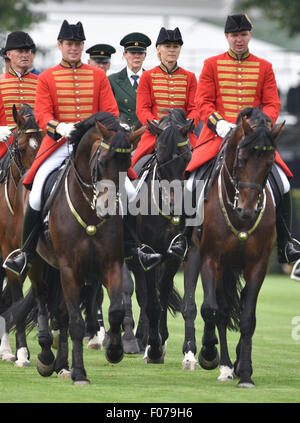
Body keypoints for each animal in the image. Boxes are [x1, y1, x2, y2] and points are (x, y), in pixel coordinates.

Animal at [17, 111, 144, 386]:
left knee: (61, 314)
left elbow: (115, 311)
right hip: (38, 265)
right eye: (102, 161)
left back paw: (63, 365)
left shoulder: (110, 265)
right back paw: (46, 357)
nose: (109, 209)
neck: (90, 211)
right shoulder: (69, 269)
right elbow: (76, 322)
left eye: (127, 162)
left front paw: (115, 350)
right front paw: (80, 373)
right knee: (43, 301)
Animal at [180, 107, 284, 388]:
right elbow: (211, 310)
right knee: (216, 309)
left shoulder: (257, 265)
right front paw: (209, 353)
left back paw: (234, 364)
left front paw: (245, 372)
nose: (247, 211)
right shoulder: (211, 259)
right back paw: (220, 362)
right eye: (241, 159)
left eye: (269, 163)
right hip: (200, 258)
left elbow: (248, 318)